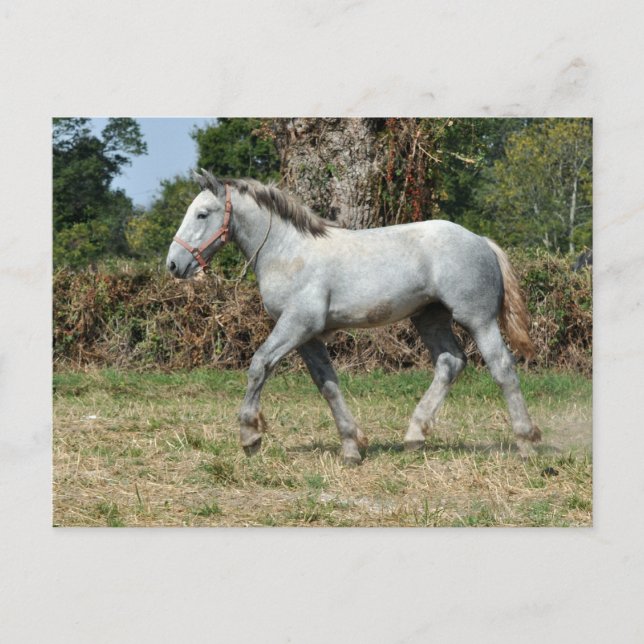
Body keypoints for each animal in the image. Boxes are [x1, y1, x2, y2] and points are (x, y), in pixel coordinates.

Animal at [166, 170, 541, 465]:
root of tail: (481, 241)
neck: (288, 251)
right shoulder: (308, 337)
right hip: (429, 317)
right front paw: (351, 447)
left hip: (477, 319)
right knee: (451, 362)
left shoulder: (296, 324)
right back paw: (414, 436)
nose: (173, 264)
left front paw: (250, 437)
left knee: (502, 367)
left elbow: (259, 365)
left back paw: (527, 442)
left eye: (202, 214)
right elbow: (328, 385)